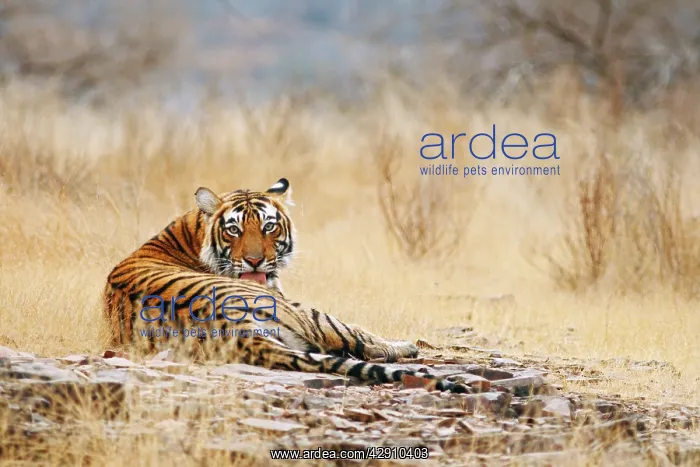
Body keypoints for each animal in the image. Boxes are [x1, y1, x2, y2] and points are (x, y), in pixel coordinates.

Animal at [103, 178, 468, 393]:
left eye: (269, 226)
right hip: (308, 313)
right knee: (356, 339)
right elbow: (362, 335)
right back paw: (404, 347)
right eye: (234, 230)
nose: (254, 261)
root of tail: (238, 334)